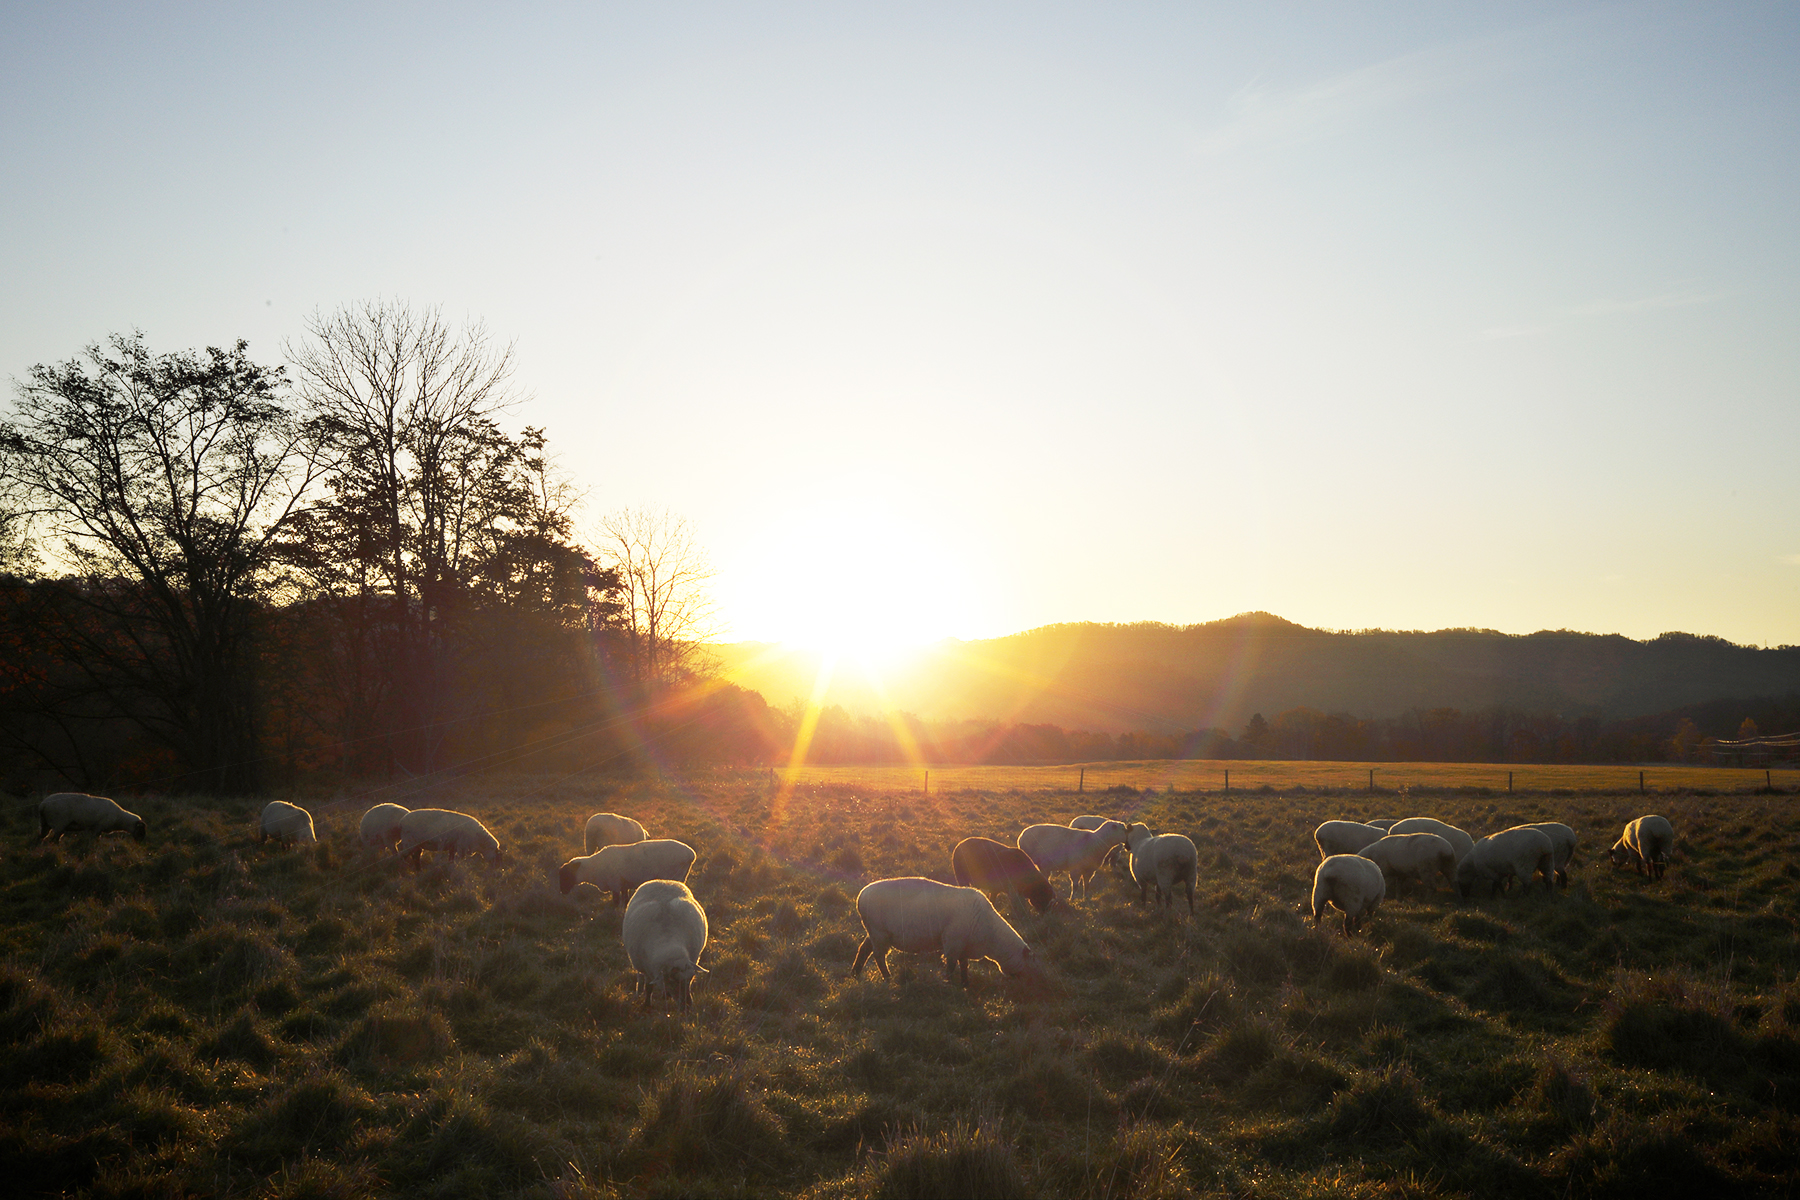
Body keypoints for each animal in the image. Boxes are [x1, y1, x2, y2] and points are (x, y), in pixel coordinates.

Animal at [554, 841, 694, 906]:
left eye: (566, 875)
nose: (562, 891)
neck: (594, 867)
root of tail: (691, 854)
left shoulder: (615, 884)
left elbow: (616, 901)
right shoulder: (623, 884)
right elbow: (625, 898)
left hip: (674, 876)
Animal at [626, 877, 709, 1007]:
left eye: (691, 978)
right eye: (671, 981)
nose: (687, 1006)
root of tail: (664, 880)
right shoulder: (647, 969)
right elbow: (648, 987)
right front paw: (647, 1004)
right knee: (640, 977)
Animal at [846, 877, 1044, 993]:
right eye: (1031, 968)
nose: (1034, 990)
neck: (992, 936)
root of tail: (861, 896)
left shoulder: (963, 945)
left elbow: (964, 965)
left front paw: (965, 984)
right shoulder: (953, 943)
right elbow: (950, 965)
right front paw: (948, 984)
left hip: (875, 933)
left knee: (864, 949)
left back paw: (855, 973)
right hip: (880, 933)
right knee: (879, 956)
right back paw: (887, 978)